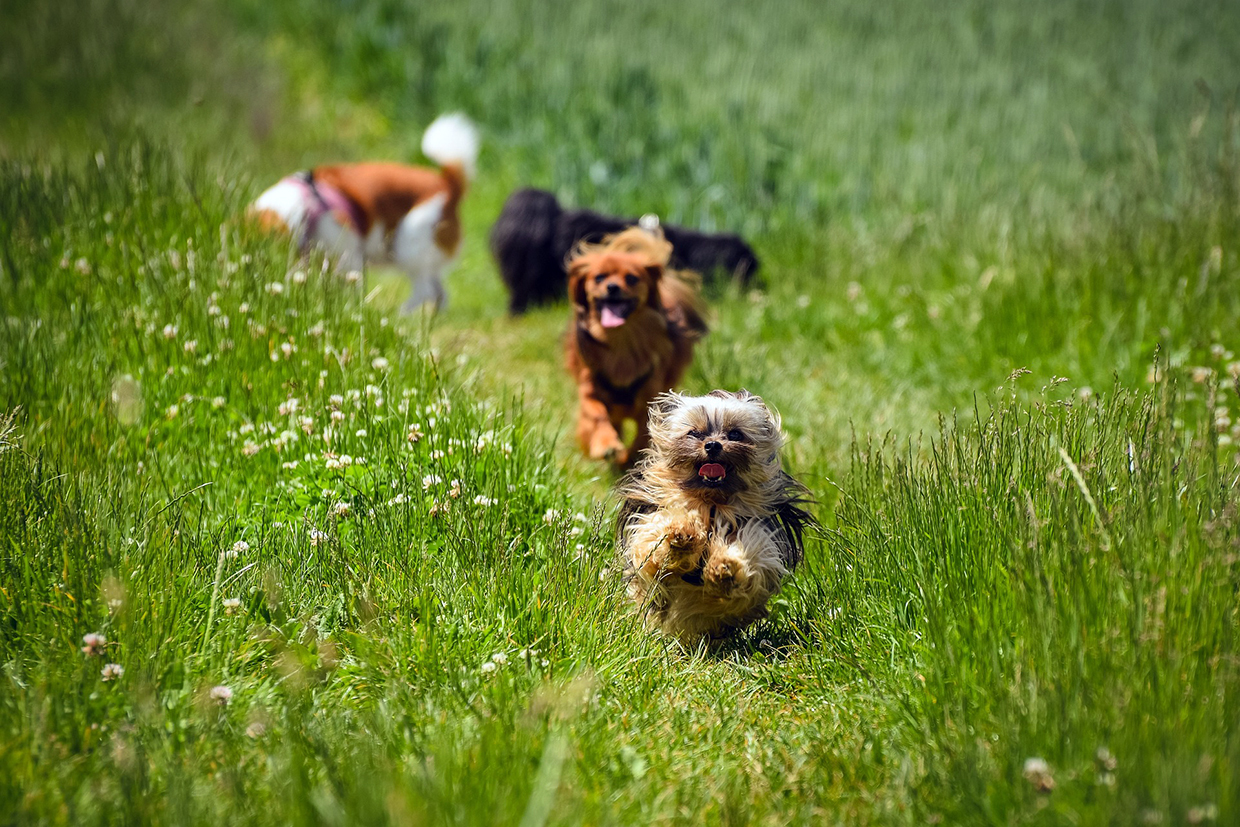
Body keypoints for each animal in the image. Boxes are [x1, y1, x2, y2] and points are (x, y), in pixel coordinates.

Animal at [248, 113, 478, 309]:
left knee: (425, 291)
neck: (305, 208)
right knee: (440, 294)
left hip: (409, 244)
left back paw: (398, 316)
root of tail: (448, 184)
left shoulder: (348, 257)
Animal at [565, 229, 709, 468]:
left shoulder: (650, 402)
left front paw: (631, 458)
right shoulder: (590, 391)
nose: (612, 287)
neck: (622, 340)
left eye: (631, 278)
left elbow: (644, 434)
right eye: (599, 277)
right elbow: (598, 415)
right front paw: (606, 444)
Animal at [617, 391, 813, 644]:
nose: (712, 445)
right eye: (694, 433)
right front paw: (681, 536)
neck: (712, 503)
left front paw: (725, 569)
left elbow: (751, 551)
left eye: (735, 434)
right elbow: (654, 541)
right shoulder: (651, 523)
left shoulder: (755, 531)